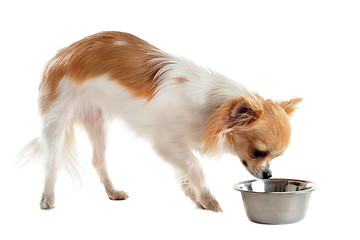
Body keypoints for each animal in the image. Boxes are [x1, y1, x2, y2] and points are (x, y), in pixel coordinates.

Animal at [19, 30, 300, 212]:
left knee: (98, 161)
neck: (213, 109)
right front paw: (208, 199)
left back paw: (112, 192)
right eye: (258, 152)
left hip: (97, 123)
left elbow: (185, 170)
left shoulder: (177, 146)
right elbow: (196, 167)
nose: (268, 175)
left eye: (275, 157)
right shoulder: (166, 143)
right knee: (51, 163)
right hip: (57, 121)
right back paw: (47, 198)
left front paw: (194, 196)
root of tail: (64, 53)